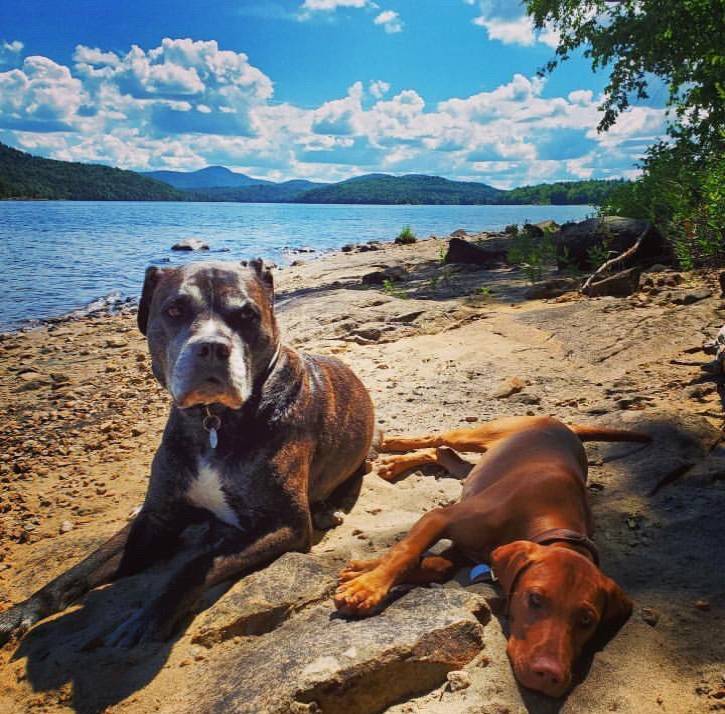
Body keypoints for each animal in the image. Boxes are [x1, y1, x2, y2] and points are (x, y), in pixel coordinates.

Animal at [0, 260, 374, 644]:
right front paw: (23, 611)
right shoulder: (157, 516)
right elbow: (83, 567)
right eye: (175, 310)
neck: (213, 421)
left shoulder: (285, 524)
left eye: (247, 314)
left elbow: (196, 566)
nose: (211, 347)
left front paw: (151, 615)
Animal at [330, 414, 648, 692]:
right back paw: (393, 446)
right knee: (439, 438)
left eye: (586, 620)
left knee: (442, 454)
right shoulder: (440, 518)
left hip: (478, 468)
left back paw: (397, 463)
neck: (548, 517)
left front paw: (363, 571)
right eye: (535, 599)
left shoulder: (465, 551)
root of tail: (562, 424)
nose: (549, 676)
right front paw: (366, 587)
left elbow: (433, 565)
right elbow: (404, 552)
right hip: (477, 436)